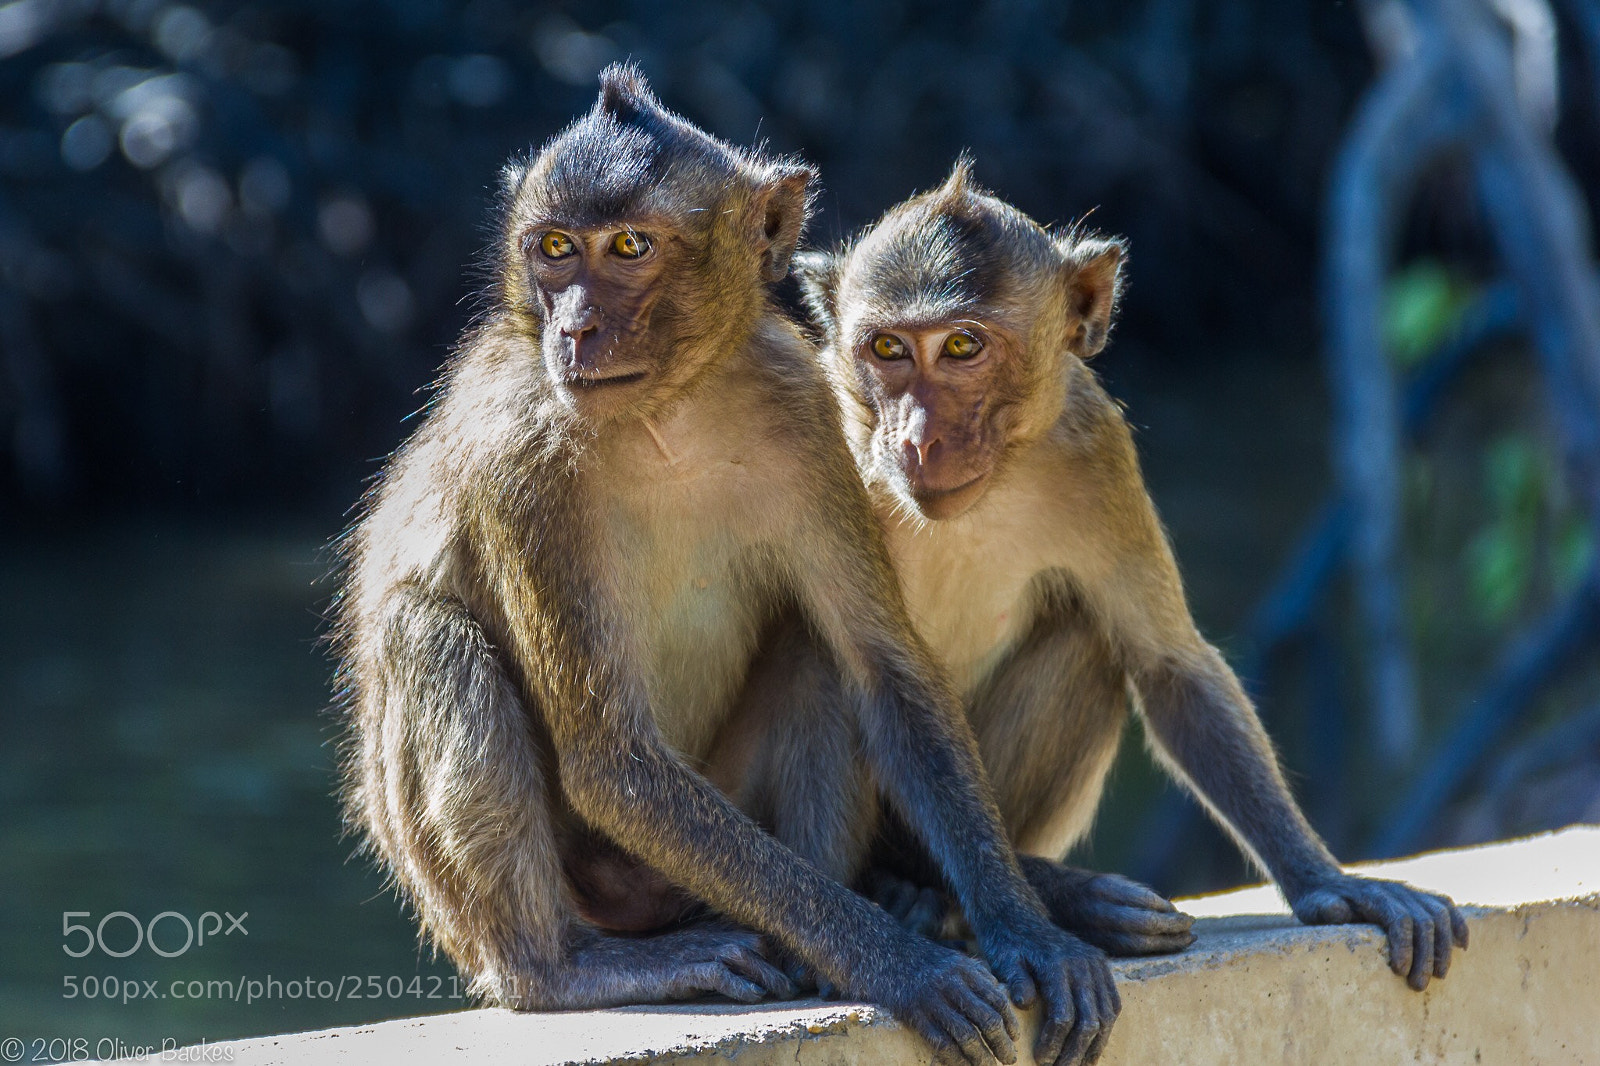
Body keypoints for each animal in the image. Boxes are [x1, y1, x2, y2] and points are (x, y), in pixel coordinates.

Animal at [333, 68, 1120, 1066]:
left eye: (630, 246)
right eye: (555, 249)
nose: (575, 328)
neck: (669, 416)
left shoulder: (809, 418)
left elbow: (887, 675)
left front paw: (1022, 930)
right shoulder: (521, 454)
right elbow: (610, 757)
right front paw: (903, 967)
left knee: (818, 656)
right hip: (579, 884)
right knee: (428, 633)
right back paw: (561, 971)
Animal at [788, 160, 1469, 992]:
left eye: (961, 346)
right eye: (887, 347)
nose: (918, 439)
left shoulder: (1096, 452)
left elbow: (1169, 666)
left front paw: (1327, 881)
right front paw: (1026, 925)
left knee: (1086, 640)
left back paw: (944, 891)